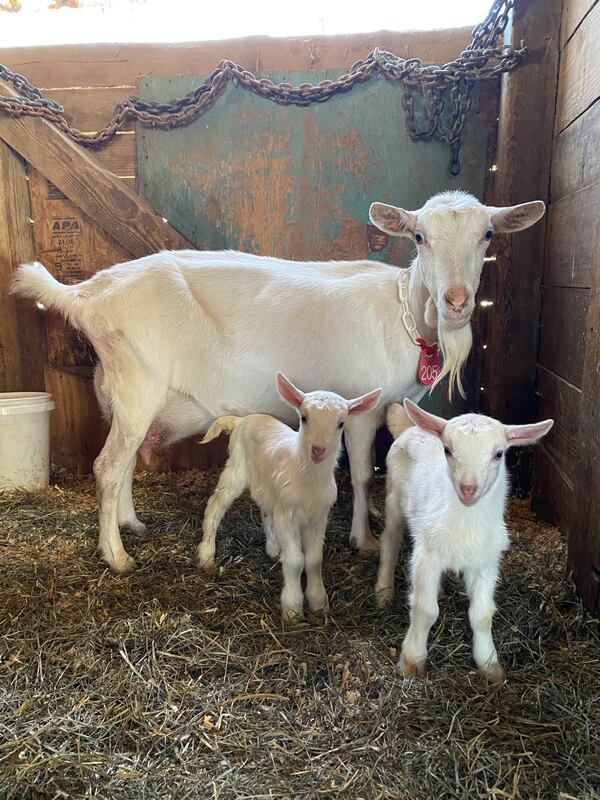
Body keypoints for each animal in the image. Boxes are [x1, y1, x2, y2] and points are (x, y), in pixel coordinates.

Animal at [10, 191, 544, 572]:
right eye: (419, 237)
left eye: (488, 235)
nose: (456, 301)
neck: (404, 313)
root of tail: (88, 293)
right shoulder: (364, 407)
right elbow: (362, 472)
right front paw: (364, 540)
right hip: (139, 382)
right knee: (106, 467)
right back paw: (117, 556)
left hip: (121, 391)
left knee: (122, 463)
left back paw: (131, 524)